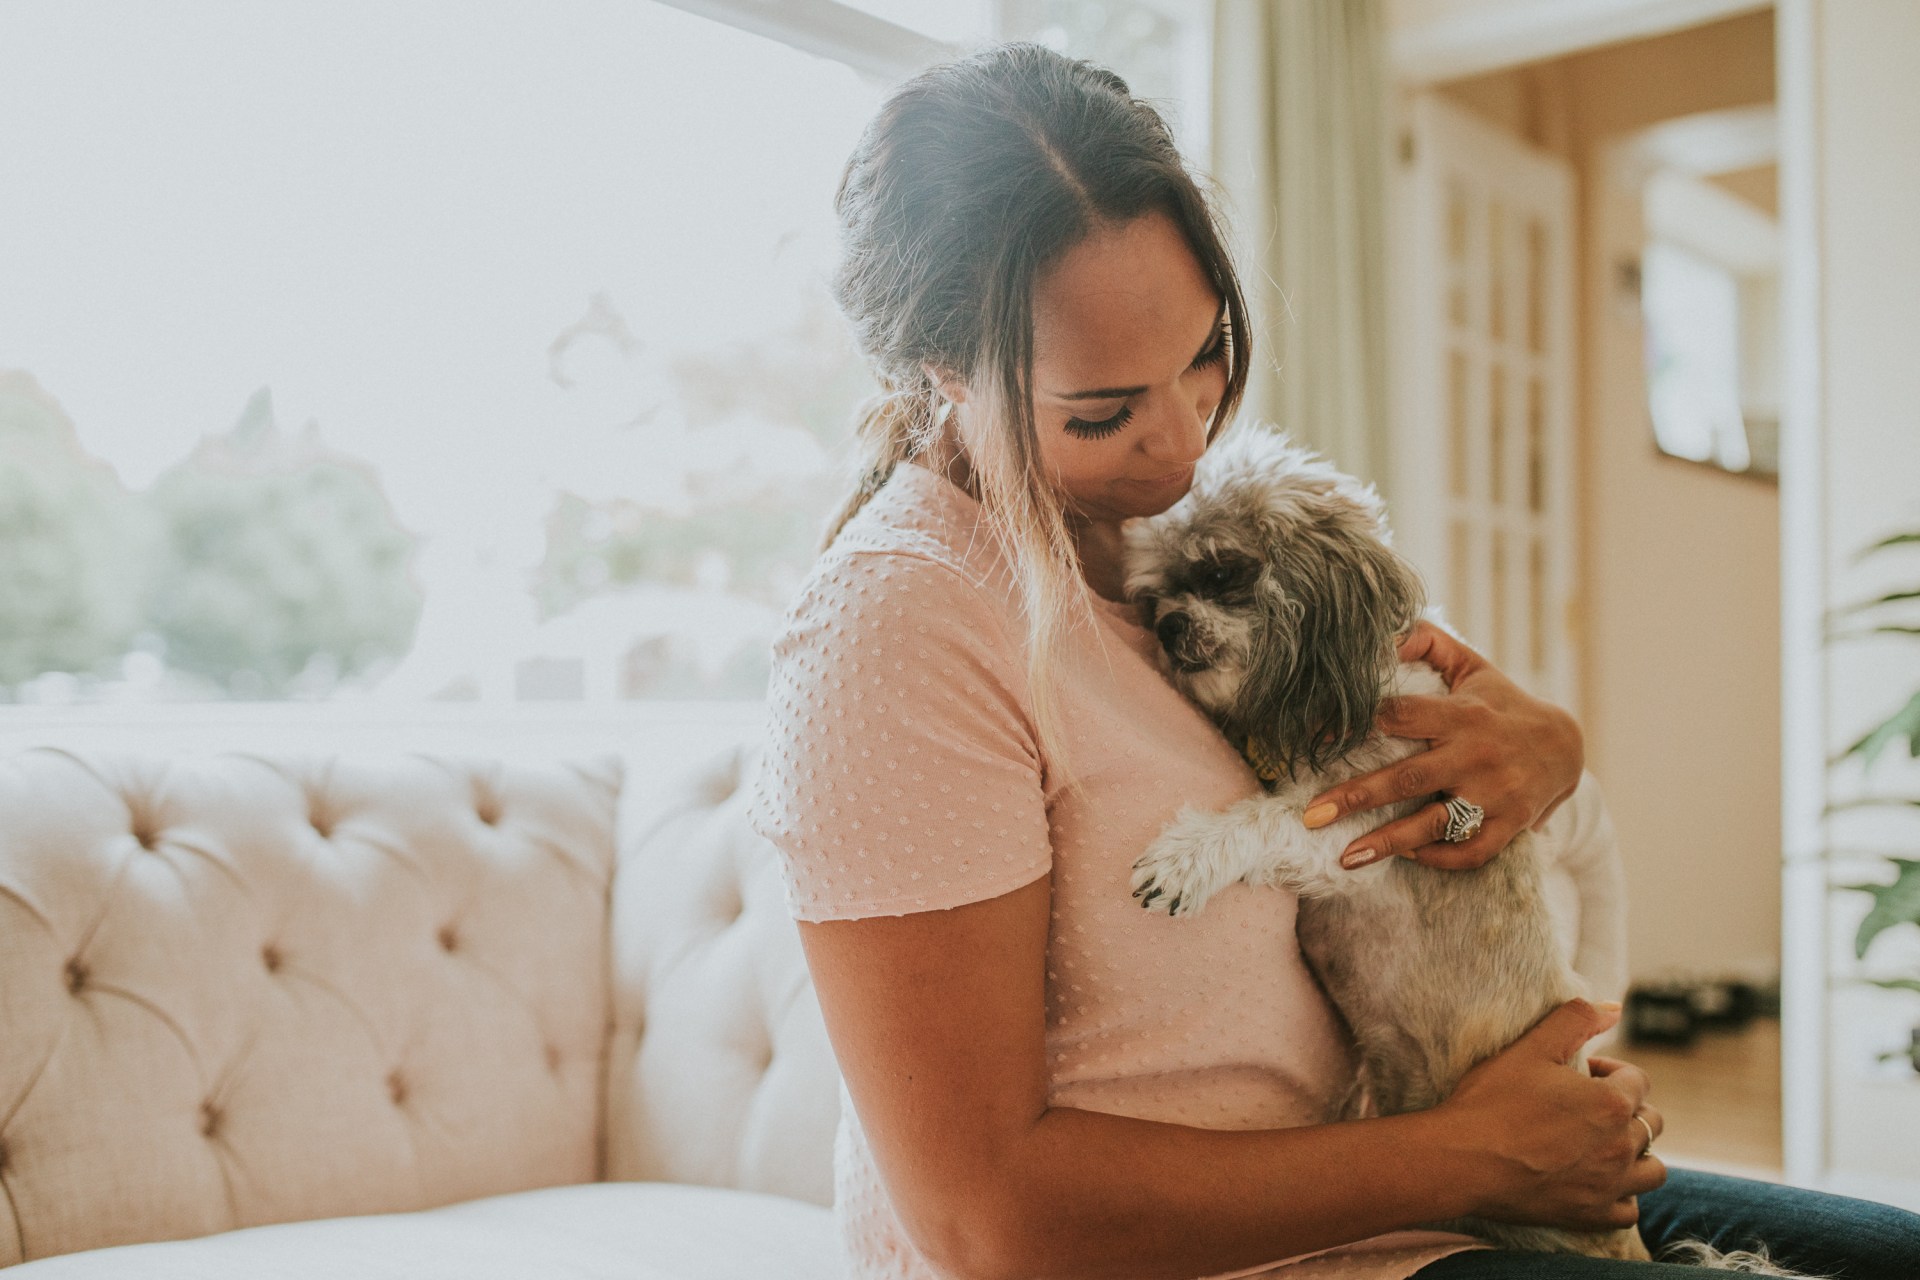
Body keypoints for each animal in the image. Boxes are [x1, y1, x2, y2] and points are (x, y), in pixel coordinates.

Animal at [1121, 422, 1804, 1274]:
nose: (1168, 626)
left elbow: (1261, 821)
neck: (1343, 697)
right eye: (1152, 596)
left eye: (1222, 570)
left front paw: (1184, 861)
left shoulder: (1357, 836)